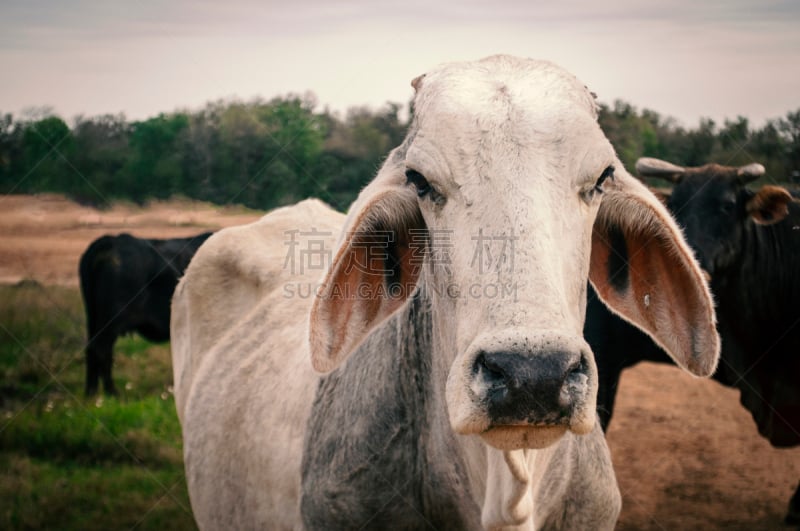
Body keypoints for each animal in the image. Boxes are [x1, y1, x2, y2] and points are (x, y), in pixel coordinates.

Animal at [79, 231, 212, 396]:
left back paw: (91, 393)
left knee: (93, 349)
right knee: (101, 350)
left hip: (94, 319)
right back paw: (111, 392)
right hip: (110, 321)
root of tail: (112, 240)